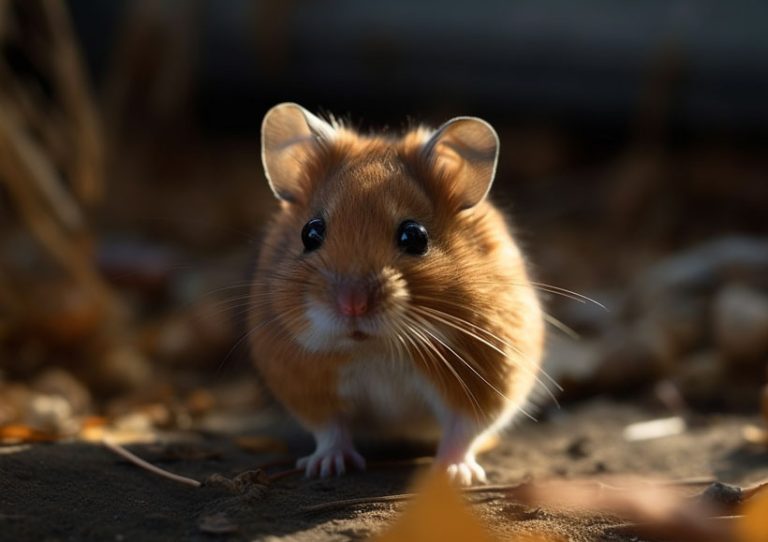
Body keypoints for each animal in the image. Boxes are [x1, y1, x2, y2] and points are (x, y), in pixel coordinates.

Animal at [249, 103, 544, 485]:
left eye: (414, 236)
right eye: (310, 233)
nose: (352, 304)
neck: (378, 350)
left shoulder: (485, 381)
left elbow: (462, 431)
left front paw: (455, 475)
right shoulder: (309, 386)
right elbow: (330, 429)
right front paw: (325, 467)